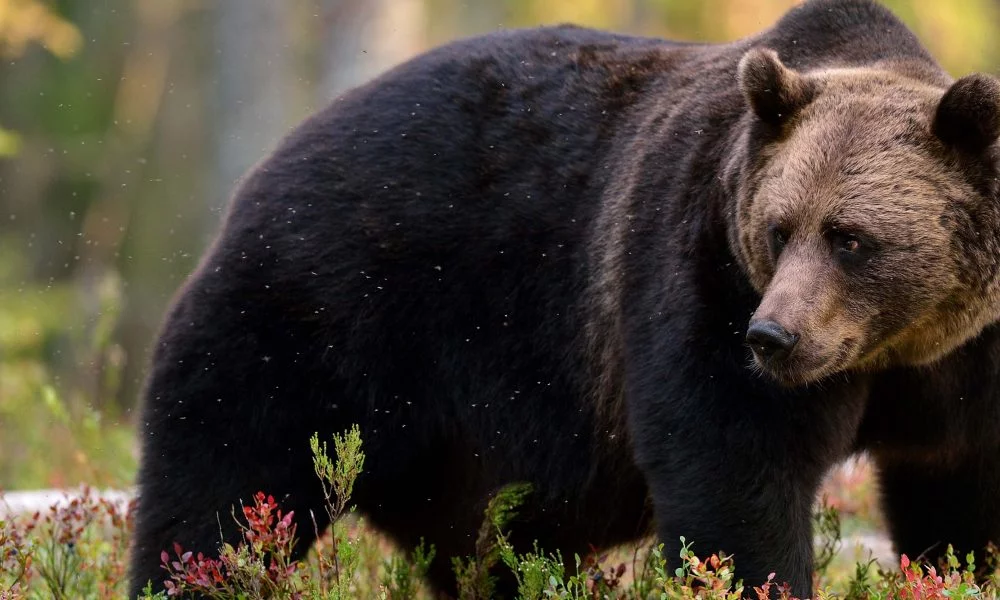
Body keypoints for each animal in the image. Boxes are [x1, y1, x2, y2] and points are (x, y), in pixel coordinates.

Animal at [128, 0, 1000, 597]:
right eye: (779, 229)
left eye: (850, 237)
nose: (773, 337)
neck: (898, 348)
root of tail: (271, 162)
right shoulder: (702, 276)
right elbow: (737, 480)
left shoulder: (967, 367)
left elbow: (959, 502)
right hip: (321, 314)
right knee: (224, 487)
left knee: (488, 552)